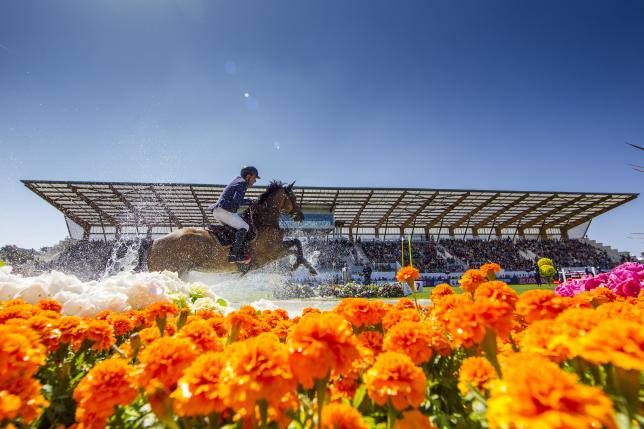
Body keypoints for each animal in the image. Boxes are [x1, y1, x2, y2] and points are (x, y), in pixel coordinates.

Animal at [143, 180, 320, 278]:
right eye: (294, 197)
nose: (301, 216)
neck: (264, 222)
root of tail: (153, 243)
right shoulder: (273, 252)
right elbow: (295, 247)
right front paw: (298, 265)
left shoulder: (277, 249)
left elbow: (296, 244)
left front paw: (308, 267)